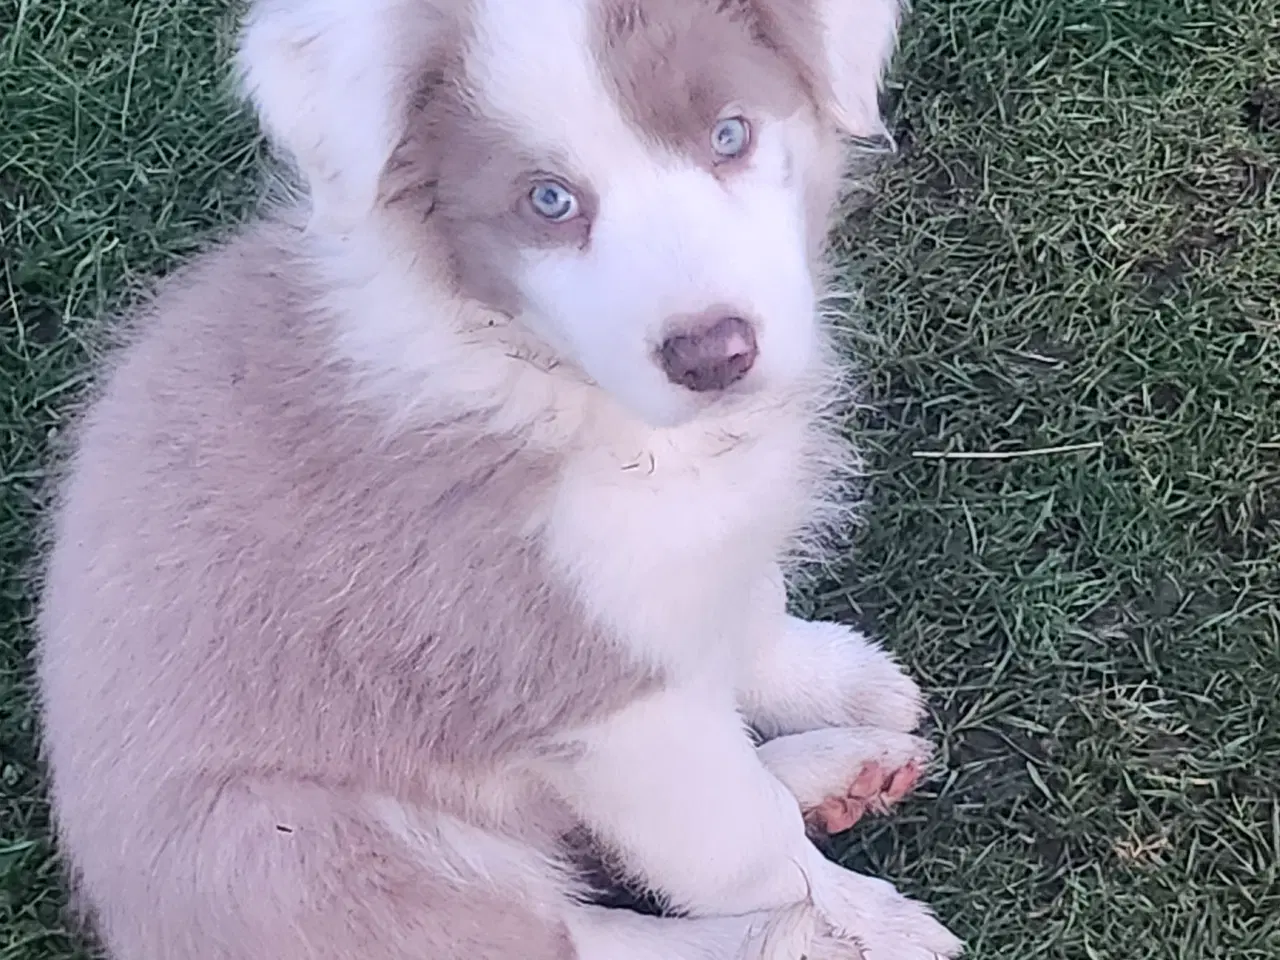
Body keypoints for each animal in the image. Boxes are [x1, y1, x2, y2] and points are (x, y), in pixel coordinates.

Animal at [35, 1, 962, 960]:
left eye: (729, 134)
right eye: (548, 201)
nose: (714, 354)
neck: (552, 376)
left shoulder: (683, 570)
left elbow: (750, 613)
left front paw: (829, 682)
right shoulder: (592, 698)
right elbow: (743, 845)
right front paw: (857, 921)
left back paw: (835, 770)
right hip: (299, 848)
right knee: (577, 933)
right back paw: (797, 933)